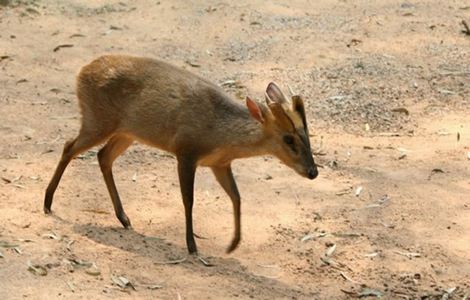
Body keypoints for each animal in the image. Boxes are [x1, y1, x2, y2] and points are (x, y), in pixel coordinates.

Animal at [43, 54, 320, 255]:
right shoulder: (186, 151)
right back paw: (47, 203)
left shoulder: (220, 163)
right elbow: (189, 200)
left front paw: (233, 244)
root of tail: (82, 71)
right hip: (98, 120)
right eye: (288, 139)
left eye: (307, 134)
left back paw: (124, 218)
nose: (313, 172)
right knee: (69, 146)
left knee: (103, 156)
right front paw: (192, 246)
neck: (220, 135)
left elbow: (237, 197)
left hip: (126, 132)